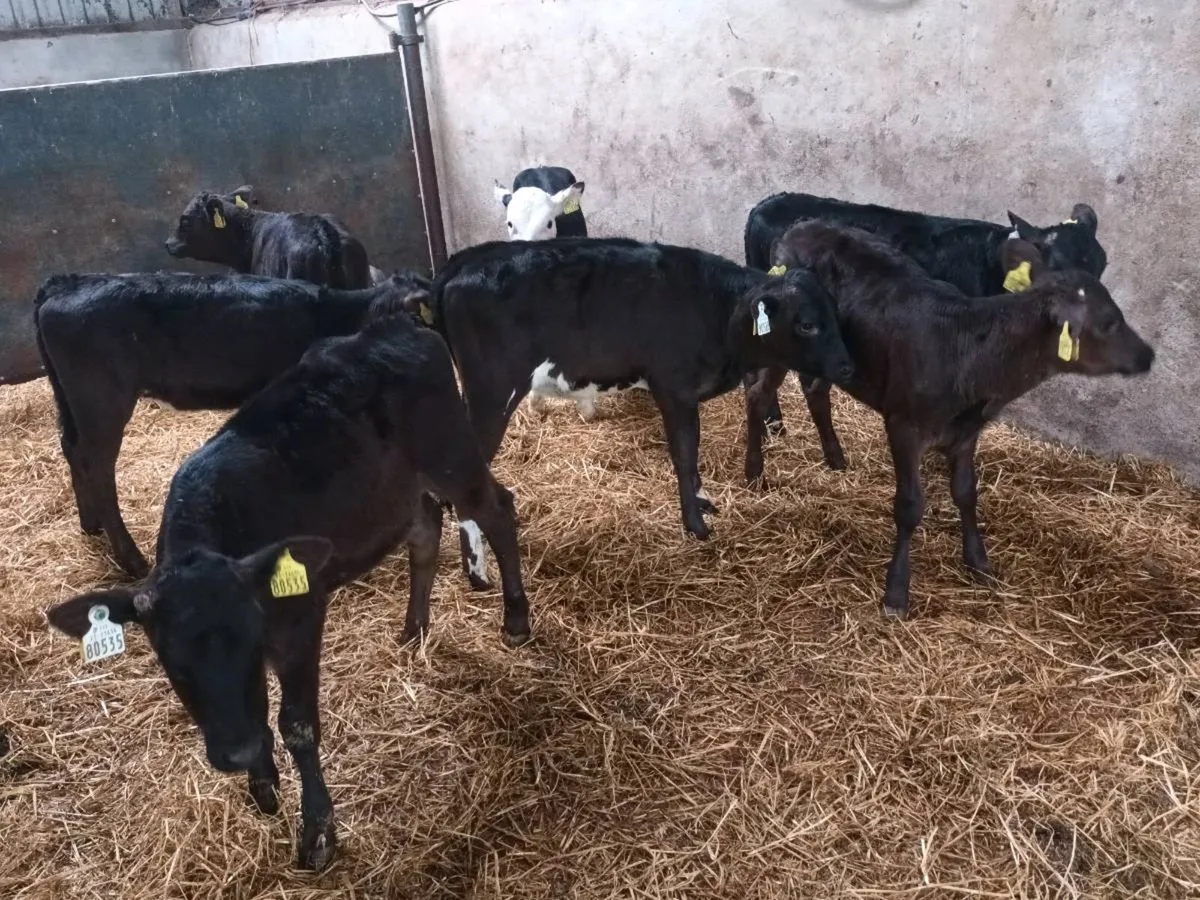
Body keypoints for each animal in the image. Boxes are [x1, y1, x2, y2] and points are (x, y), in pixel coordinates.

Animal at [34, 271, 430, 578]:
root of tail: (66, 283)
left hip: (70, 400)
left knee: (72, 449)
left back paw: (90, 525)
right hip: (102, 402)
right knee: (98, 466)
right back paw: (132, 559)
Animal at [45, 303, 531, 872]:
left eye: (251, 643)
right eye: (172, 664)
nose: (233, 752)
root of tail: (393, 326)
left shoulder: (302, 617)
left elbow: (296, 724)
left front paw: (318, 830)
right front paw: (262, 783)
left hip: (453, 455)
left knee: (497, 510)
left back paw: (516, 616)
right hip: (397, 488)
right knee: (426, 527)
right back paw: (414, 628)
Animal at [425, 237, 855, 587]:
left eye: (836, 314)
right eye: (807, 324)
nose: (847, 366)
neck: (717, 308)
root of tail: (464, 261)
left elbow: (694, 455)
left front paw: (703, 501)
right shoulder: (674, 389)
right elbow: (685, 454)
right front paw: (695, 525)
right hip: (491, 396)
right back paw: (477, 573)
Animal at [744, 221, 1153, 619]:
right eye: (1109, 322)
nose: (1147, 355)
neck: (968, 352)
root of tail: (797, 228)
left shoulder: (966, 432)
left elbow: (966, 492)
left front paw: (978, 562)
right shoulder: (904, 424)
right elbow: (910, 506)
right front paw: (896, 592)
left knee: (815, 389)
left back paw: (835, 457)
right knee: (758, 392)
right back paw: (754, 472)